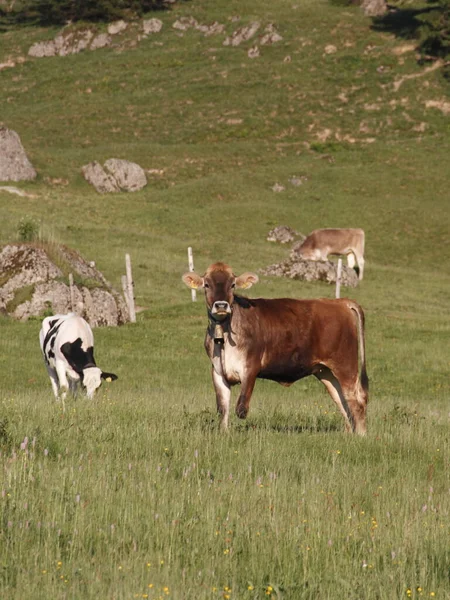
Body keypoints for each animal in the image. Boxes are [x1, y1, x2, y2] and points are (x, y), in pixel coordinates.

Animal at [183, 262, 370, 436]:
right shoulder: (217, 371)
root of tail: (340, 302)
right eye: (207, 284)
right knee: (342, 400)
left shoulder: (250, 367)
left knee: (356, 398)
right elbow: (223, 408)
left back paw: (361, 436)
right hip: (326, 371)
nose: (221, 305)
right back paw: (349, 434)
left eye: (233, 284)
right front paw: (224, 434)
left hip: (345, 365)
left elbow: (241, 408)